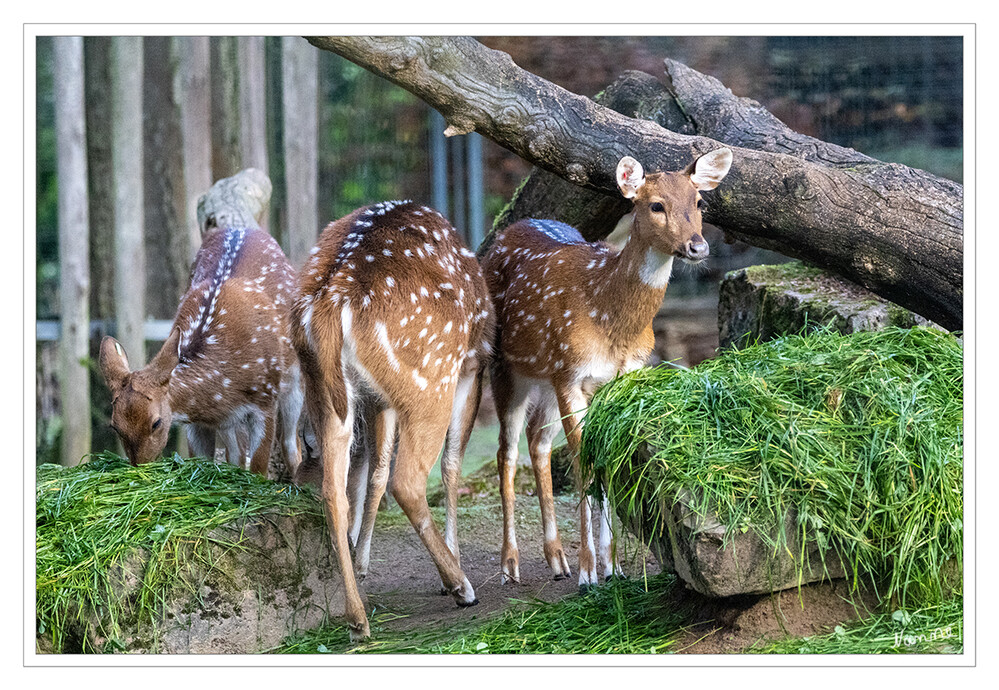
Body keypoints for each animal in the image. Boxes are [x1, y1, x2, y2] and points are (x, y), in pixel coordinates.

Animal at [102, 224, 306, 472]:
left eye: (156, 423)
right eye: (115, 426)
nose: (141, 466)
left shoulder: (265, 399)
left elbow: (258, 468)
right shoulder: (199, 421)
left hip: (293, 379)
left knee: (291, 444)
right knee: (236, 453)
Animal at [292, 199, 496, 640]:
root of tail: (332, 303)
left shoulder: (378, 398)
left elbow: (376, 471)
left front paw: (363, 562)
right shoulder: (474, 366)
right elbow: (452, 464)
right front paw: (451, 567)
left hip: (328, 394)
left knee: (335, 491)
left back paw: (358, 618)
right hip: (431, 381)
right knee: (410, 480)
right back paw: (461, 585)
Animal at [484, 145, 736, 584]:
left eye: (700, 202)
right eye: (656, 205)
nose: (697, 247)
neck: (609, 316)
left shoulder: (616, 380)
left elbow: (607, 462)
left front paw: (613, 566)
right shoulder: (571, 373)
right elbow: (585, 465)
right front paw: (589, 572)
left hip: (547, 377)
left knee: (538, 442)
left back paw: (557, 559)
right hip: (509, 368)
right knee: (507, 452)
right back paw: (510, 565)